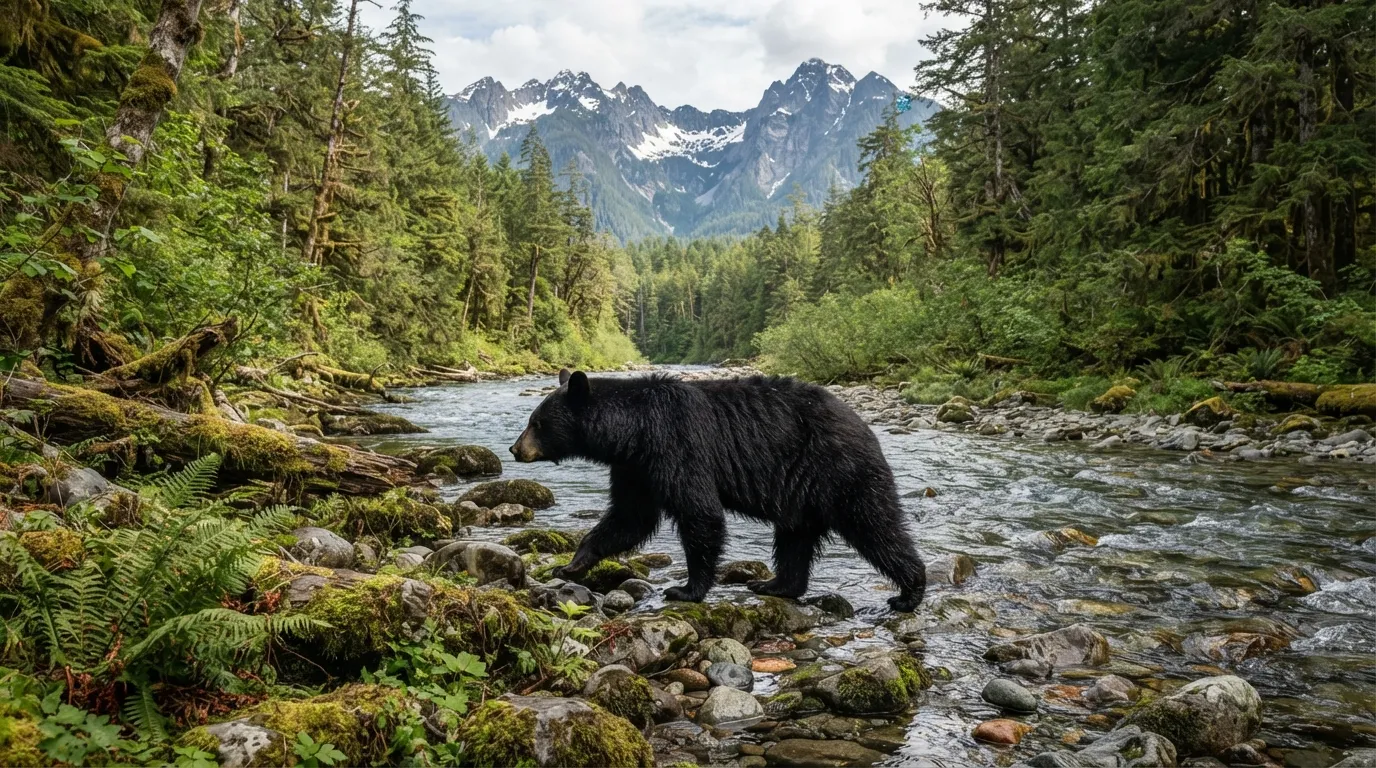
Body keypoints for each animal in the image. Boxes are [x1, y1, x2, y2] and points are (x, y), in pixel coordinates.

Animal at [509, 368, 926, 611]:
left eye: (537, 423)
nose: (515, 449)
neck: (633, 431)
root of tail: (864, 424)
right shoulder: (635, 468)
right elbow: (629, 518)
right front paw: (572, 564)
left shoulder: (676, 445)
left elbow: (699, 512)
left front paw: (685, 589)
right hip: (801, 494)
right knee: (795, 538)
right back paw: (775, 585)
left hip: (840, 471)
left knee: (875, 526)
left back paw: (909, 591)